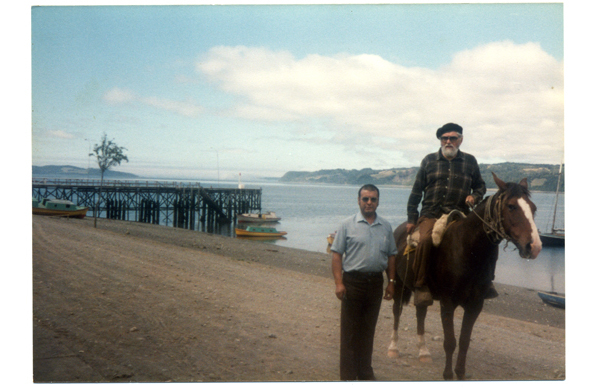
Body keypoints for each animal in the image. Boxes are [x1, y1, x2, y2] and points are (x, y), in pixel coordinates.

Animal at [386, 174, 540, 380]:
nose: (534, 246)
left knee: (421, 313)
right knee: (397, 312)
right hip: (398, 285)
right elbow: (450, 341)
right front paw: (448, 374)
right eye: (511, 206)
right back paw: (393, 348)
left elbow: (464, 341)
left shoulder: (475, 305)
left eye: (533, 208)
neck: (467, 250)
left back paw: (423, 351)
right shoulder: (447, 302)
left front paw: (460, 372)